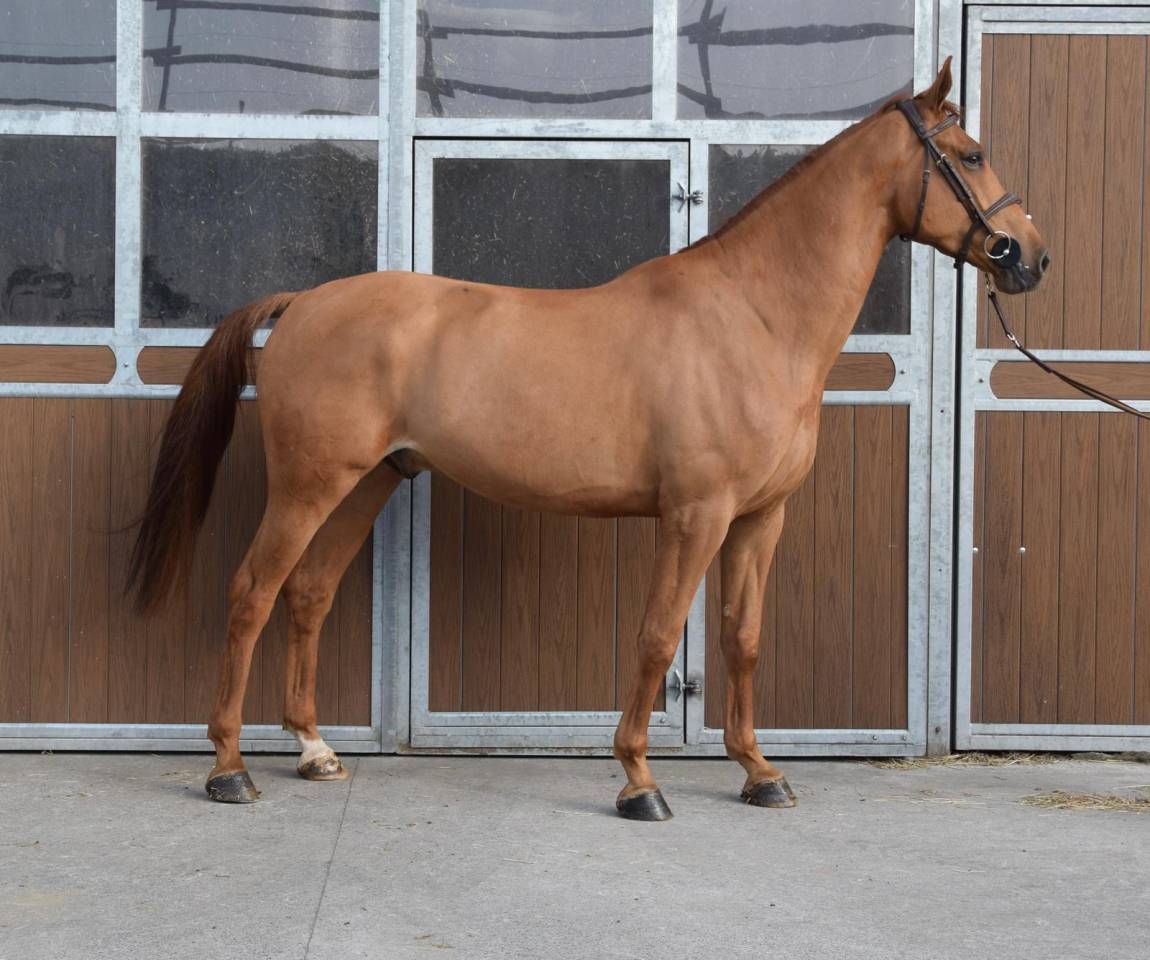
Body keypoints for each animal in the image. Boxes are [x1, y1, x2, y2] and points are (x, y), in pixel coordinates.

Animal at [130, 59, 1047, 819]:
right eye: (969, 155)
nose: (1029, 258)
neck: (753, 317)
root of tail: (302, 303)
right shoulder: (694, 516)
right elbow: (656, 635)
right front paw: (639, 781)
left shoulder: (759, 519)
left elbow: (743, 641)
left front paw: (759, 773)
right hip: (309, 485)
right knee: (251, 593)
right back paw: (228, 769)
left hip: (368, 482)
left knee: (309, 595)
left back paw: (315, 751)